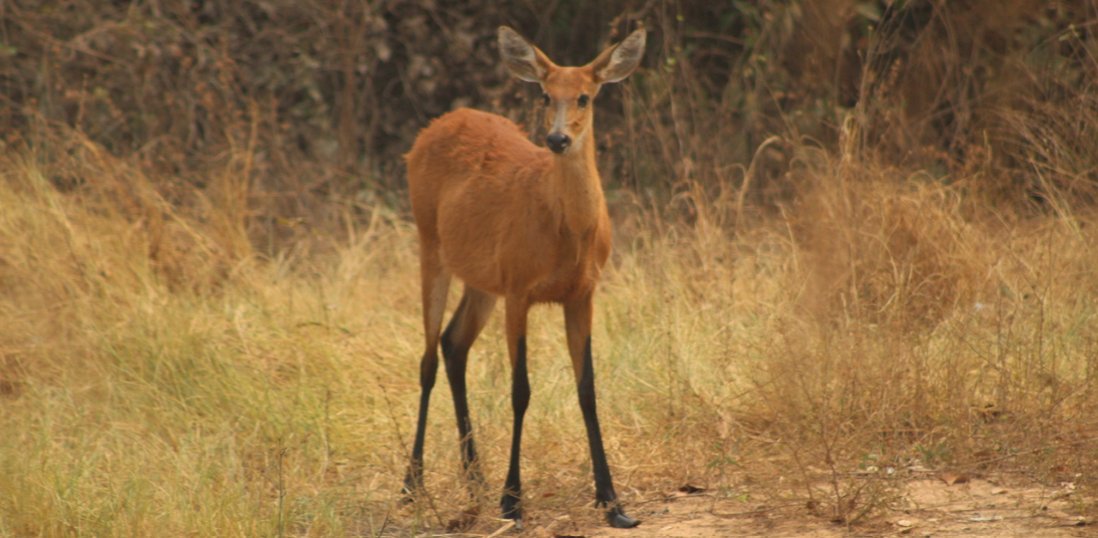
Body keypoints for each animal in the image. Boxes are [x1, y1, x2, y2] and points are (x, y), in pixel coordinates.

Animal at [401, 25, 646, 529]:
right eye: (545, 94)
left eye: (585, 96)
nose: (557, 139)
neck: (566, 231)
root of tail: (433, 127)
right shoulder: (519, 289)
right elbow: (520, 391)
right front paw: (513, 500)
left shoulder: (582, 293)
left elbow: (588, 390)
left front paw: (614, 503)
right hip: (430, 245)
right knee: (428, 358)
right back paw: (412, 484)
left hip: (479, 278)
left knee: (454, 344)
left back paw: (474, 477)